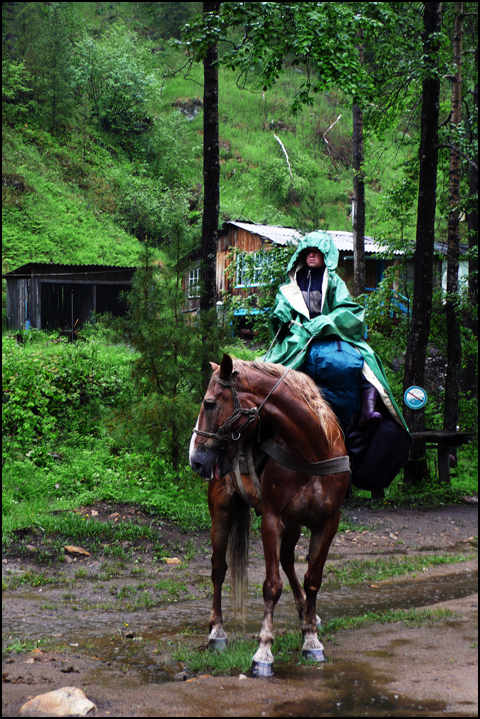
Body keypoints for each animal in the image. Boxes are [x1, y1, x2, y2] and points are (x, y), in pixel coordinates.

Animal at [189, 354, 350, 676]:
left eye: (209, 403)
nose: (196, 460)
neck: (313, 451)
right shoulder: (272, 520)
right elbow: (271, 586)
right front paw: (264, 650)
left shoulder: (327, 523)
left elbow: (313, 578)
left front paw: (311, 638)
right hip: (222, 512)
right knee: (218, 569)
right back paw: (217, 632)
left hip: (296, 525)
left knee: (287, 560)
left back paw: (305, 611)